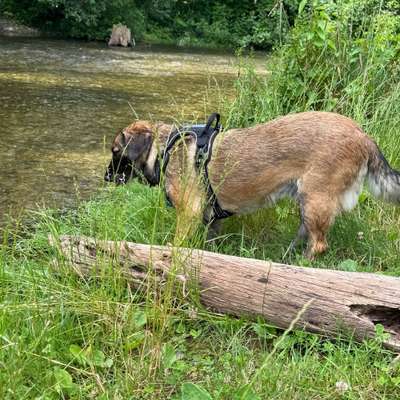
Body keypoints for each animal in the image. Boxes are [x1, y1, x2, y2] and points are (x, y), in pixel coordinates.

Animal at [104, 111, 400, 258]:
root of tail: (364, 136)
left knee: (318, 244)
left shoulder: (188, 213)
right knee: (305, 234)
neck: (164, 147)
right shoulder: (211, 218)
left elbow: (178, 244)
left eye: (115, 151)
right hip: (307, 202)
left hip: (315, 198)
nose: (106, 177)